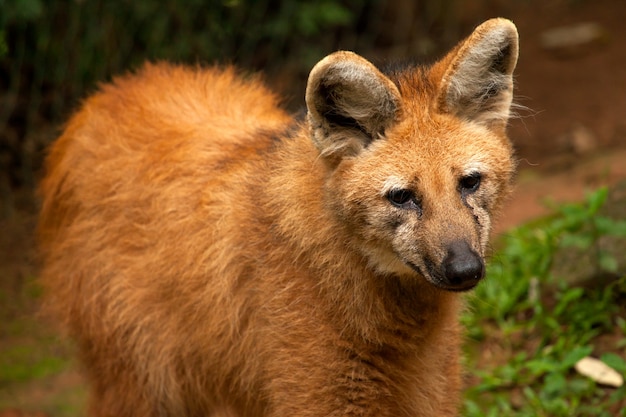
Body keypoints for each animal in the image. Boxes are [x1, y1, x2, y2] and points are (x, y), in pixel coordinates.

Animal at [37, 17, 516, 416]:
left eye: (469, 183)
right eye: (402, 197)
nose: (465, 269)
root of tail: (104, 95)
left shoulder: (428, 390)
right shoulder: (319, 395)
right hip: (143, 380)